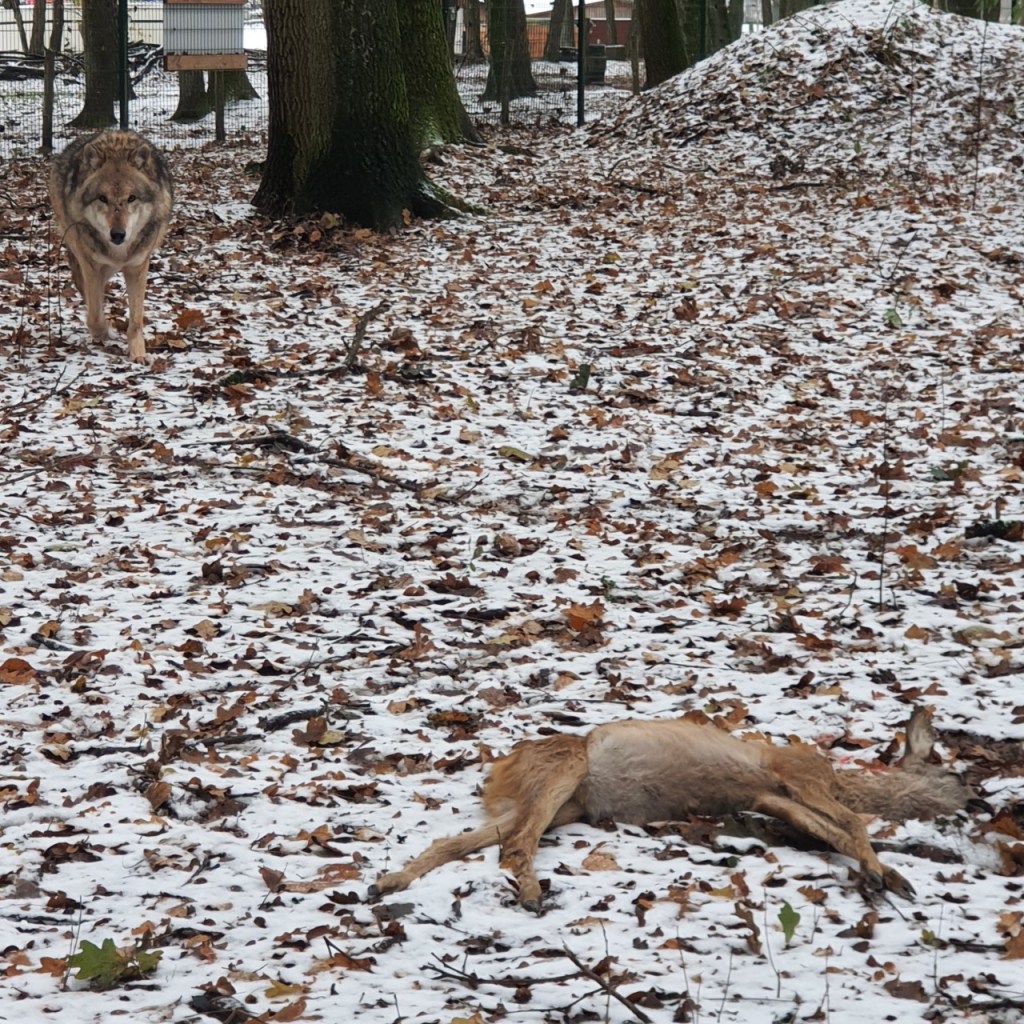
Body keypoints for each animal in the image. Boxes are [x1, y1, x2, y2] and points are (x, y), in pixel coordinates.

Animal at [50, 130, 174, 364]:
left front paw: (138, 354)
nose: (117, 234)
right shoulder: (92, 265)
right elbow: (94, 316)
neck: (119, 253)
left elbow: (136, 319)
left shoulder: (137, 266)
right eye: (103, 198)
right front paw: (104, 332)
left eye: (131, 198)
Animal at [371, 707, 968, 911]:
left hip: (560, 805)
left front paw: (887, 875)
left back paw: (387, 882)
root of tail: (498, 772)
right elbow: (851, 823)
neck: (845, 779)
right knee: (516, 844)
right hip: (566, 767)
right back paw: (535, 895)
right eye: (953, 771)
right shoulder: (795, 772)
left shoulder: (773, 798)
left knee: (460, 841)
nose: (973, 798)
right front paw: (884, 875)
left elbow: (837, 831)